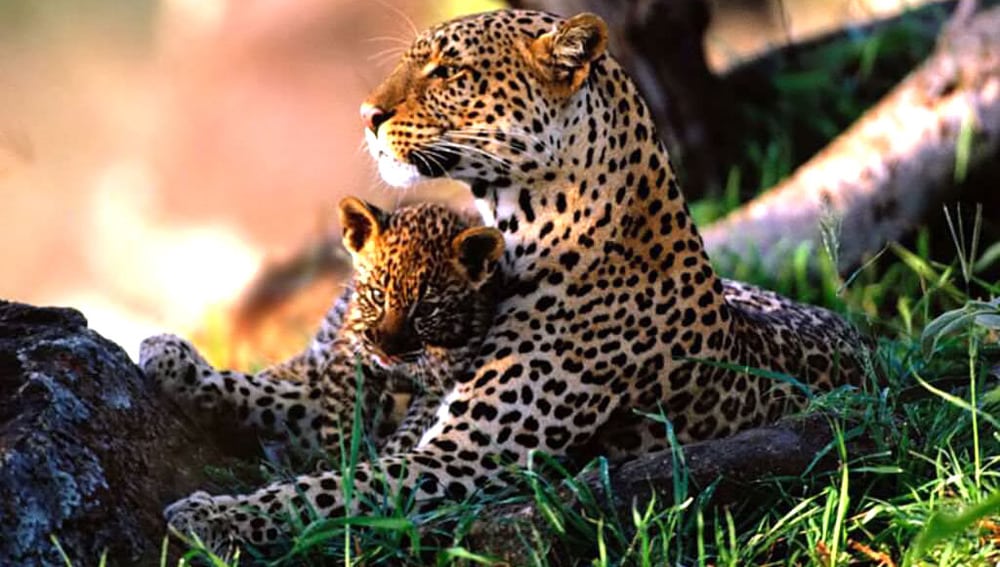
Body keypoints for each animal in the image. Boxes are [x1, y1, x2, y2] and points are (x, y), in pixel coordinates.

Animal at [140, 198, 504, 466]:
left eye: (427, 310)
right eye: (378, 295)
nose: (385, 350)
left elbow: (272, 395)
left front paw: (171, 359)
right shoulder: (325, 357)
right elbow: (274, 381)